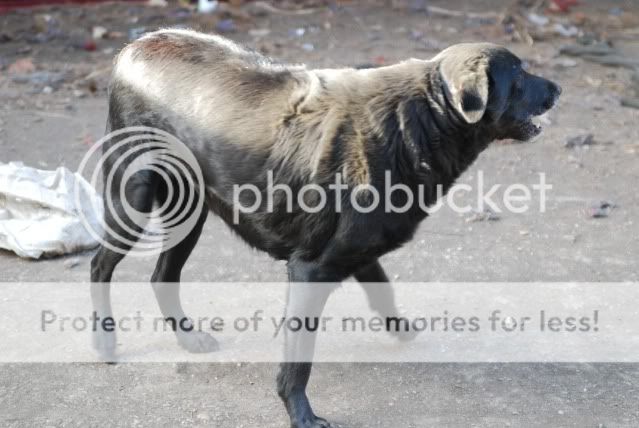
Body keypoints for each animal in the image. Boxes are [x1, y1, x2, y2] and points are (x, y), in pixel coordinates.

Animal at [90, 30, 560, 428]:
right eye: (519, 75)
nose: (558, 89)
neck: (421, 118)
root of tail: (135, 46)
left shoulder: (358, 251)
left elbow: (383, 291)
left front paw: (401, 330)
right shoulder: (309, 270)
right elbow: (298, 362)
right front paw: (301, 415)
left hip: (190, 210)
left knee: (162, 274)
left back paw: (189, 340)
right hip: (134, 198)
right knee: (99, 265)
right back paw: (104, 343)